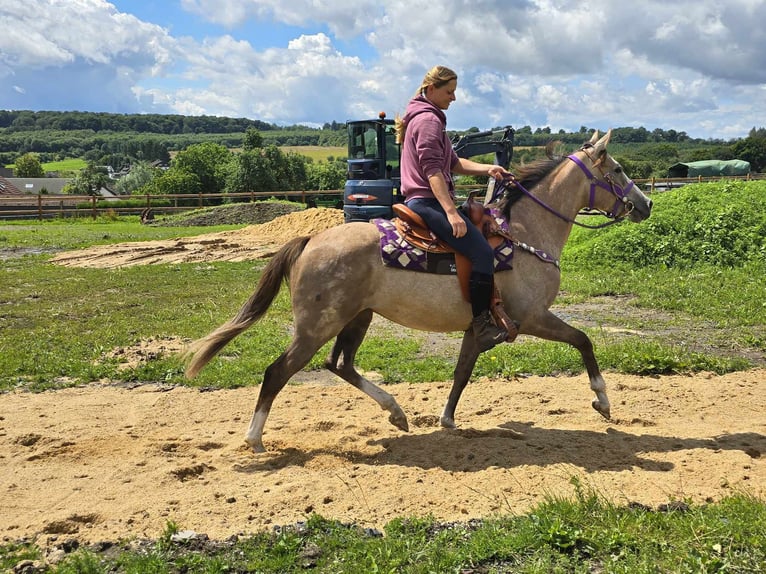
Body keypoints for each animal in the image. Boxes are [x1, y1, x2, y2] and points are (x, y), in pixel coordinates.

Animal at [186, 130, 656, 454]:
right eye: (617, 171)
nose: (646, 204)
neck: (523, 234)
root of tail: (309, 241)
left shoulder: (482, 327)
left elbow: (463, 372)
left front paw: (446, 420)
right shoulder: (533, 317)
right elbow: (584, 340)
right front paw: (602, 400)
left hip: (357, 318)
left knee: (340, 364)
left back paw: (396, 413)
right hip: (316, 327)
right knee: (277, 373)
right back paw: (255, 439)